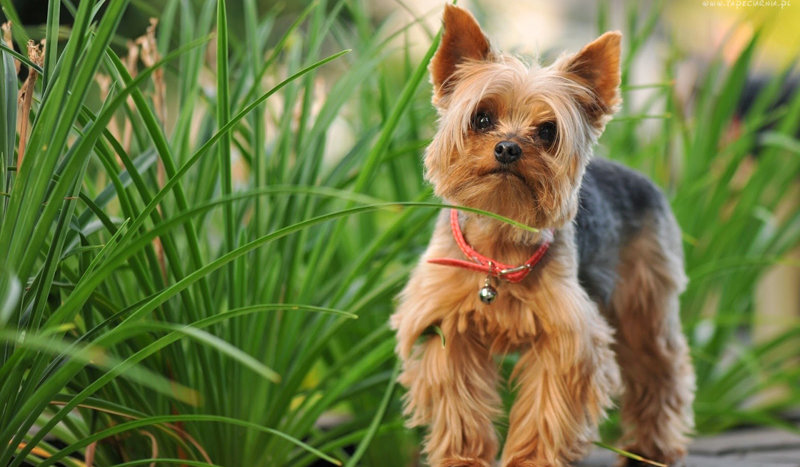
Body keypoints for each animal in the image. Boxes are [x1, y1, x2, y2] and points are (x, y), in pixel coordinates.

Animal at [390, 4, 696, 467]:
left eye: (548, 131)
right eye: (482, 118)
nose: (508, 147)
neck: (500, 235)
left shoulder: (566, 338)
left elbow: (546, 408)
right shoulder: (446, 326)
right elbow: (459, 404)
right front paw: (463, 457)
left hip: (644, 300)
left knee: (659, 368)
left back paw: (651, 449)